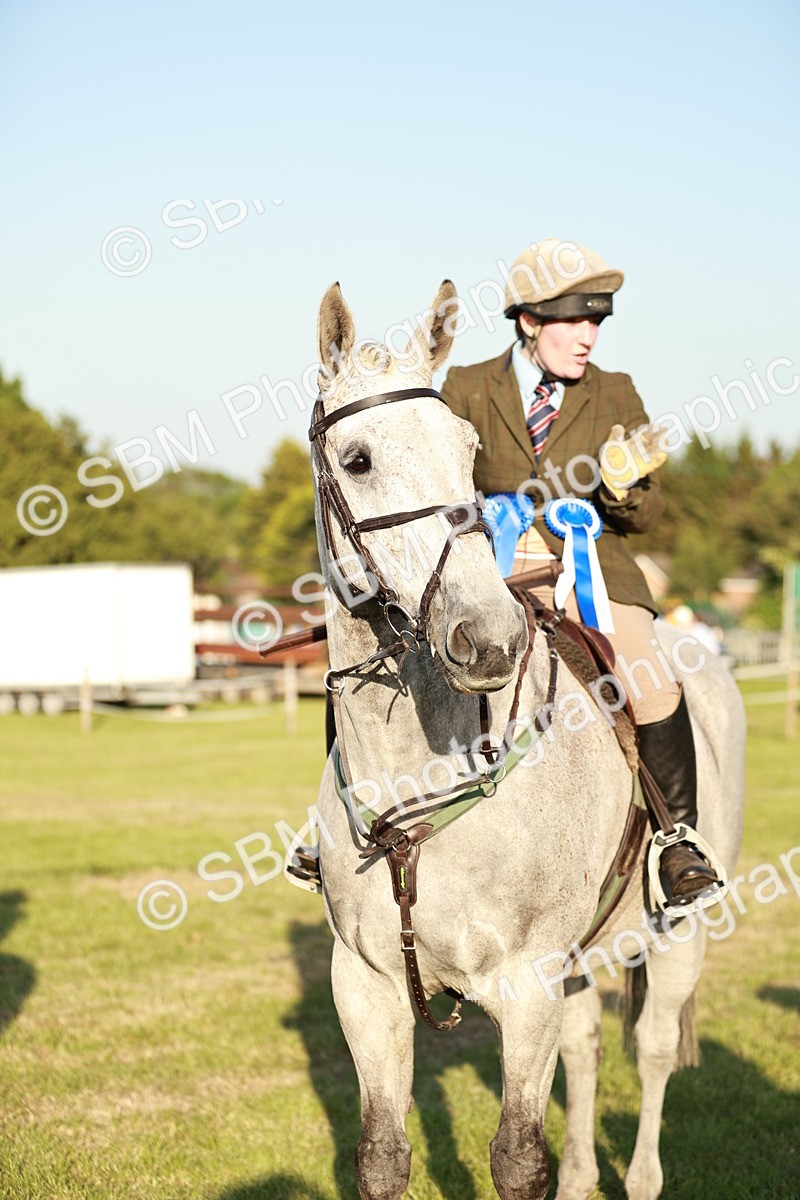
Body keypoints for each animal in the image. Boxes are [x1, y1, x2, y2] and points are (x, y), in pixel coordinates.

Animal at [310, 279, 745, 1200]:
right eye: (357, 460)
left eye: (467, 449)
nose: (489, 640)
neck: (415, 773)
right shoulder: (364, 988)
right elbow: (381, 1157)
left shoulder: (526, 984)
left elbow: (516, 1158)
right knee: (584, 1048)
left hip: (680, 932)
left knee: (653, 1051)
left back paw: (641, 1175)